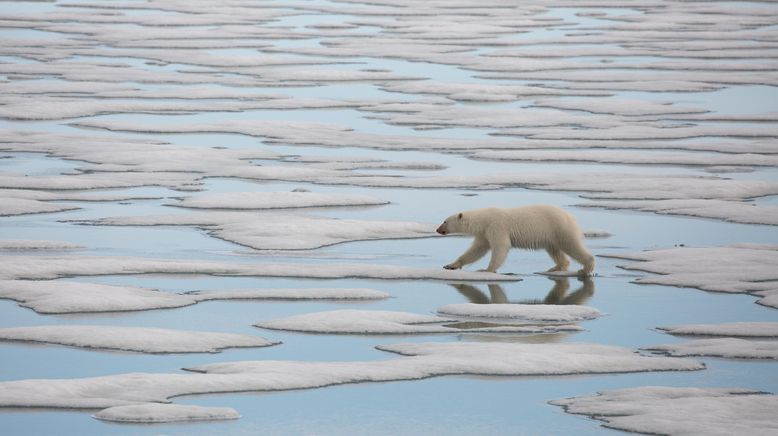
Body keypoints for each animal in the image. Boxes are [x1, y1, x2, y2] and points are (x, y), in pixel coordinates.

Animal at [434, 205, 592, 274]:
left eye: (445, 221)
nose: (437, 229)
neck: (484, 219)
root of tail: (571, 217)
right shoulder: (485, 233)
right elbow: (477, 249)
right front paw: (450, 265)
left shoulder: (496, 226)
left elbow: (501, 246)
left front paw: (487, 269)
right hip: (551, 236)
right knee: (555, 250)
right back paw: (556, 267)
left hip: (559, 228)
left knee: (571, 245)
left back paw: (585, 268)